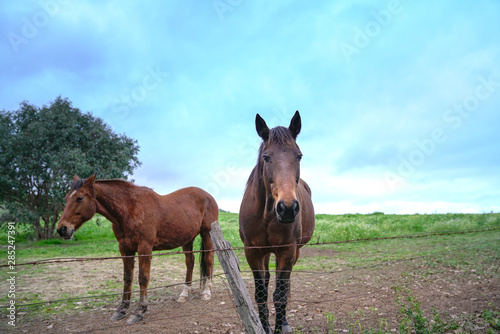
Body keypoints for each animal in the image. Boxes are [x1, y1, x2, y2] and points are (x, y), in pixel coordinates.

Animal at [57, 175, 218, 324]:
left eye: (80, 198)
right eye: (66, 198)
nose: (62, 229)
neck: (130, 209)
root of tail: (209, 196)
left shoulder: (144, 248)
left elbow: (143, 278)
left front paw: (140, 311)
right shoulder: (125, 249)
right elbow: (127, 278)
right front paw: (121, 309)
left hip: (207, 234)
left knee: (208, 259)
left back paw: (207, 292)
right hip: (187, 239)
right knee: (190, 262)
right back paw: (184, 294)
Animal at [237, 112, 312, 334]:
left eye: (299, 156)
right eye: (266, 157)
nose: (287, 208)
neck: (267, 214)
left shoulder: (287, 251)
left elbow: (280, 295)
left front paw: (279, 326)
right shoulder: (252, 252)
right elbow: (261, 293)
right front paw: (264, 326)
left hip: (293, 253)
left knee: (285, 285)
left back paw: (285, 322)